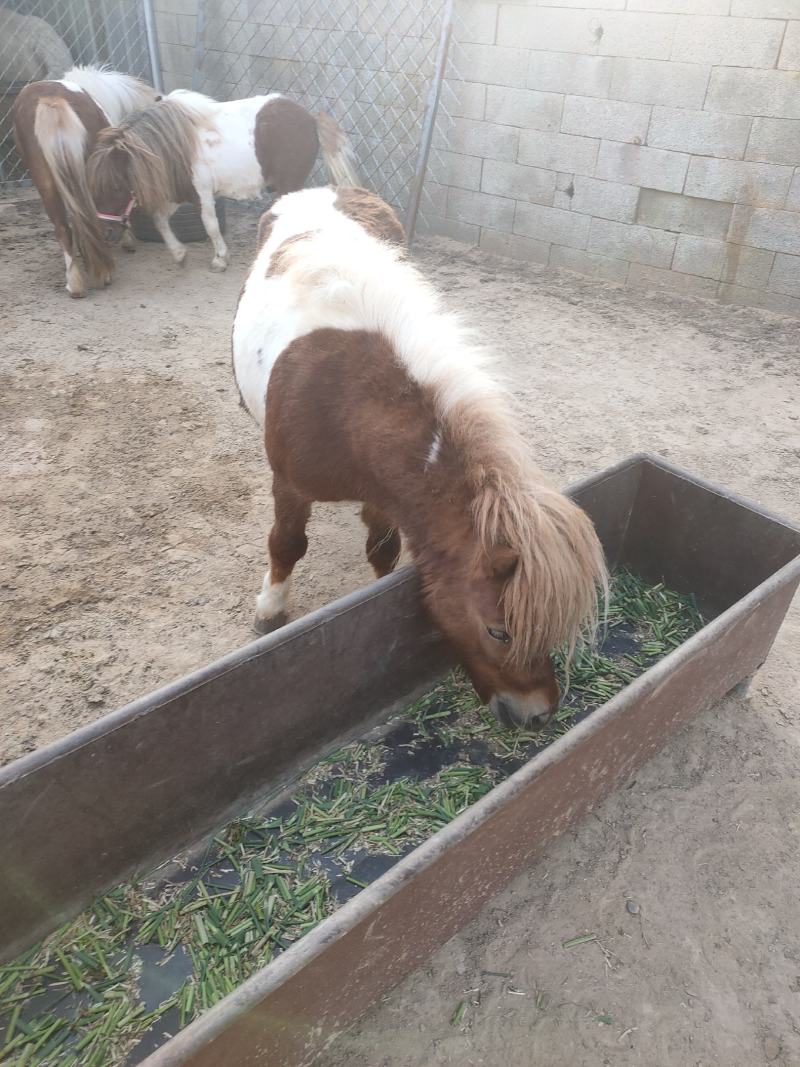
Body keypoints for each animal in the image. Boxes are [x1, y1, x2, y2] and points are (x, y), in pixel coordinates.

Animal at [12, 65, 158, 298]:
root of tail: (51, 99)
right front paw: (127, 241)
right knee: (88, 219)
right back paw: (101, 272)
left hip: (46, 181)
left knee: (64, 227)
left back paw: (76, 283)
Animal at [87, 91, 360, 274]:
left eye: (116, 187)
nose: (106, 233)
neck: (175, 143)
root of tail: (311, 119)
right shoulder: (181, 193)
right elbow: (160, 220)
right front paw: (179, 254)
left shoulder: (202, 193)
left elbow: (211, 226)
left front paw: (220, 259)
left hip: (288, 184)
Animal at [231, 186, 608, 729]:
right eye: (499, 632)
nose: (539, 714)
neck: (345, 402)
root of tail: (323, 190)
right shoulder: (290, 485)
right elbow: (286, 544)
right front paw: (270, 610)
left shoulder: (387, 497)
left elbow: (382, 552)